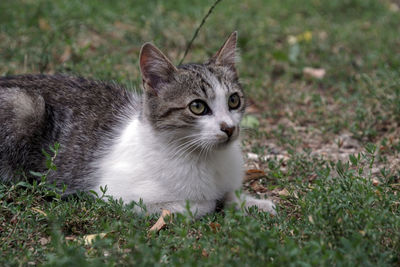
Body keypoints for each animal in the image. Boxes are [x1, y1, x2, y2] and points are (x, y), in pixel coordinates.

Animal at [0, 32, 276, 219]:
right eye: (197, 107)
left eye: (234, 100)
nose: (229, 128)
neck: (205, 157)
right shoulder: (117, 195)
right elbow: (198, 205)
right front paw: (215, 202)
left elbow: (230, 193)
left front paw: (254, 203)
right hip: (23, 105)